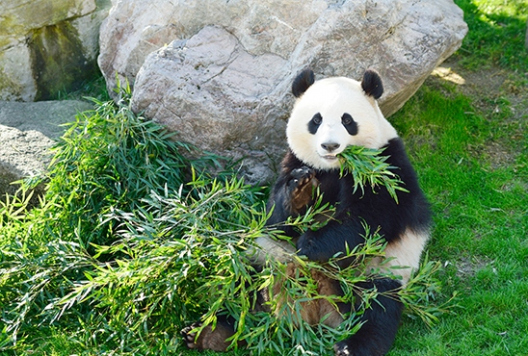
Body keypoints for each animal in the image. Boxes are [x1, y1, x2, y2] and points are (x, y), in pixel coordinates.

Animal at [184, 69, 432, 356]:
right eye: (316, 120)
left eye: (347, 120)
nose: (330, 146)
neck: (334, 167)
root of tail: (314, 312)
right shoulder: (294, 162)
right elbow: (277, 218)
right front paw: (300, 190)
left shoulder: (386, 166)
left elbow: (369, 220)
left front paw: (311, 244)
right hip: (264, 260)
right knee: (242, 289)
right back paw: (211, 333)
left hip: (377, 270)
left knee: (376, 306)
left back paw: (349, 346)